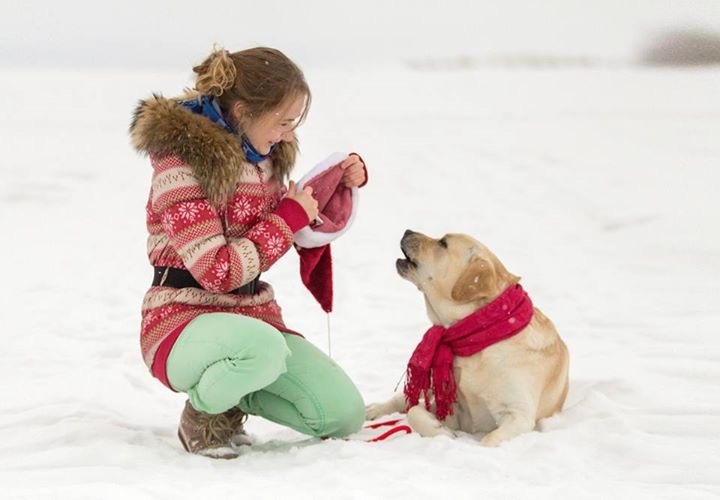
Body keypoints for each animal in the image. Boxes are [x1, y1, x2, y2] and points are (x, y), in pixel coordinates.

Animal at [368, 230, 572, 446]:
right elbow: (415, 411)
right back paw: (374, 409)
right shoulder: (453, 406)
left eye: (443, 243)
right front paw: (442, 432)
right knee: (405, 400)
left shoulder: (518, 415)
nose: (408, 231)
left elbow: (488, 440)